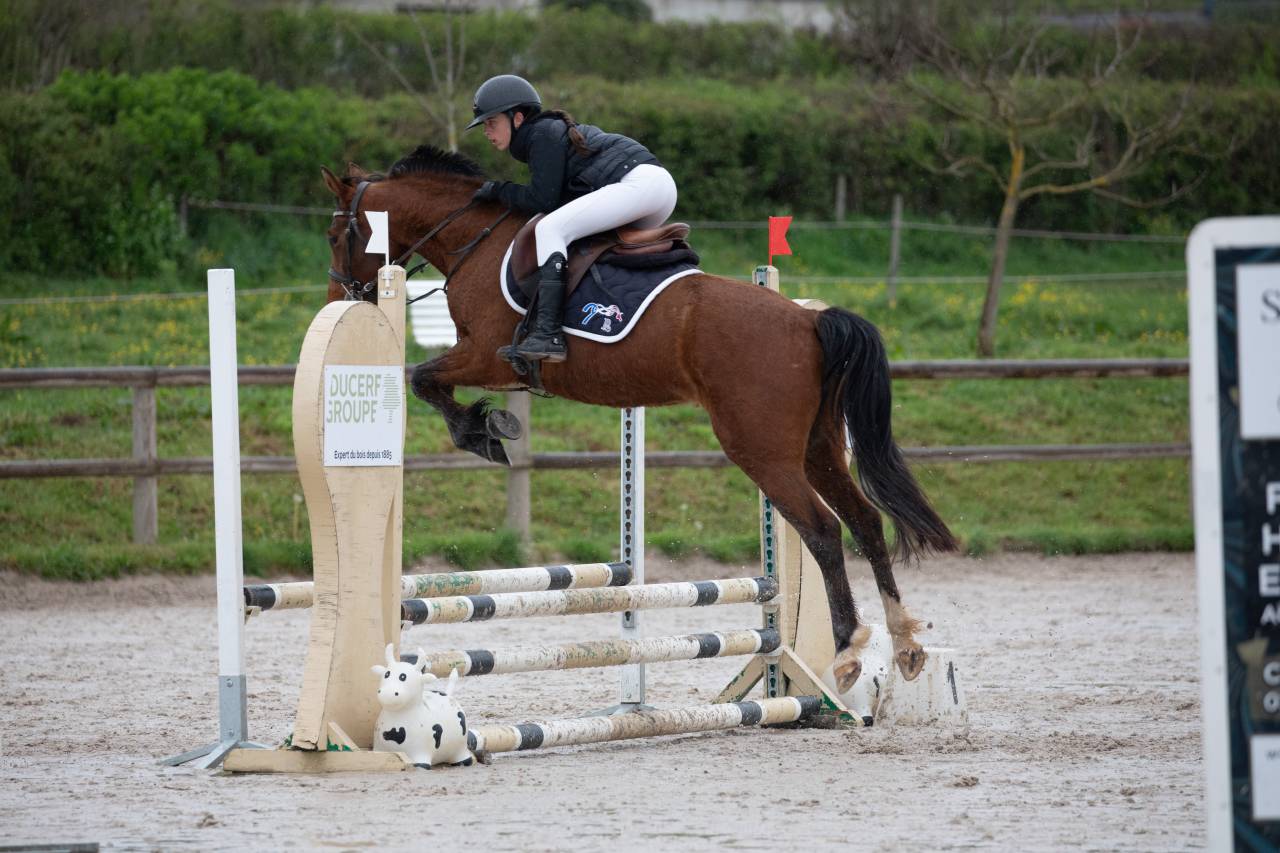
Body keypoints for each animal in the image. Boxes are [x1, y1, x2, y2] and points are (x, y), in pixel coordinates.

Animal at [321, 145, 958, 692]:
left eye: (335, 233)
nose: (340, 297)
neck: (474, 239)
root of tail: (809, 320)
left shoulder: (487, 354)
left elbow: (422, 377)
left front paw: (482, 431)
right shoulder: (483, 358)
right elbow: (427, 379)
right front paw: (488, 428)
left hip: (762, 450)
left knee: (824, 530)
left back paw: (849, 651)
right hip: (817, 446)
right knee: (866, 521)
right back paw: (904, 644)